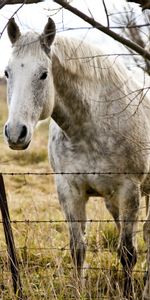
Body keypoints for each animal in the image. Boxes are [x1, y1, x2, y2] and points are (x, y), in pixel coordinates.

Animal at [3, 17, 150, 298]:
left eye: (43, 74)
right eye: (7, 72)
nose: (15, 133)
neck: (92, 124)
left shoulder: (129, 190)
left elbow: (127, 253)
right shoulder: (69, 190)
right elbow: (77, 248)